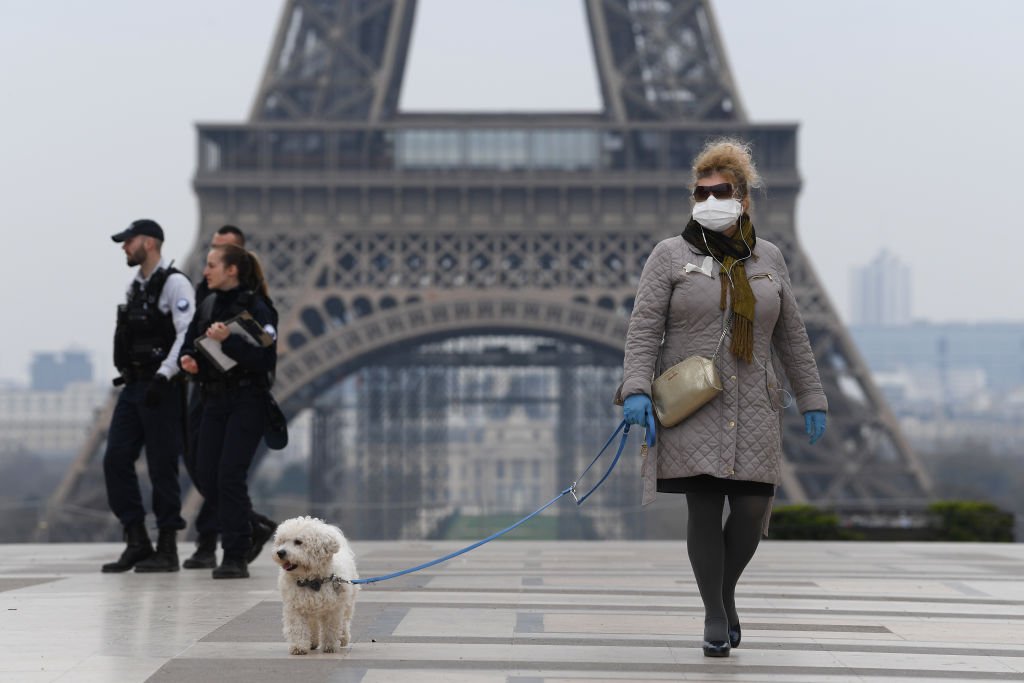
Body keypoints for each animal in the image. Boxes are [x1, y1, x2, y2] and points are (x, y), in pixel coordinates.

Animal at [272, 516, 360, 655]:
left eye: (298, 542)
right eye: (282, 541)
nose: (280, 552)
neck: (311, 580)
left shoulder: (333, 608)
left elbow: (331, 627)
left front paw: (329, 645)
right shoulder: (296, 606)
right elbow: (298, 627)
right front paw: (299, 646)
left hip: (348, 602)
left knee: (345, 621)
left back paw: (343, 637)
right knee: (312, 624)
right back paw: (312, 642)